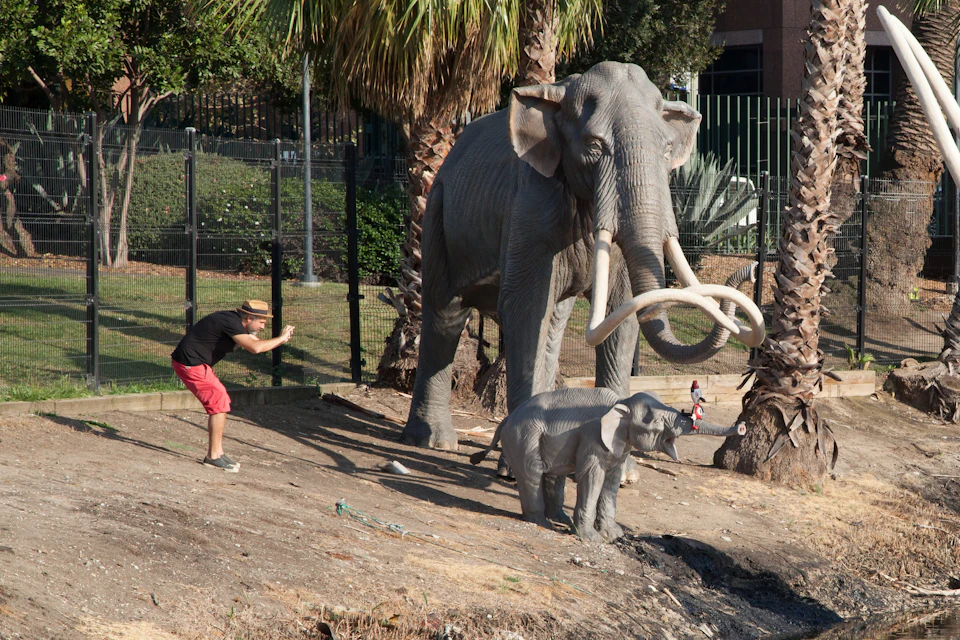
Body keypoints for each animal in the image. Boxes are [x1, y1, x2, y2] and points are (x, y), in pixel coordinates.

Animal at [402, 61, 764, 450]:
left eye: (667, 150)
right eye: (593, 146)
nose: (752, 269)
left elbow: (623, 310)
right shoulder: (531, 203)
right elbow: (526, 306)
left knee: (553, 324)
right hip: (438, 211)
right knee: (446, 313)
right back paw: (434, 442)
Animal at [470, 387, 746, 542]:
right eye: (657, 422)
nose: (742, 426)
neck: (621, 403)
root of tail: (505, 420)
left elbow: (612, 479)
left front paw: (614, 535)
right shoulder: (593, 437)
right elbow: (592, 476)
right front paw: (592, 540)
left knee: (554, 474)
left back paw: (561, 520)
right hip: (524, 438)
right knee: (533, 473)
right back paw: (542, 524)